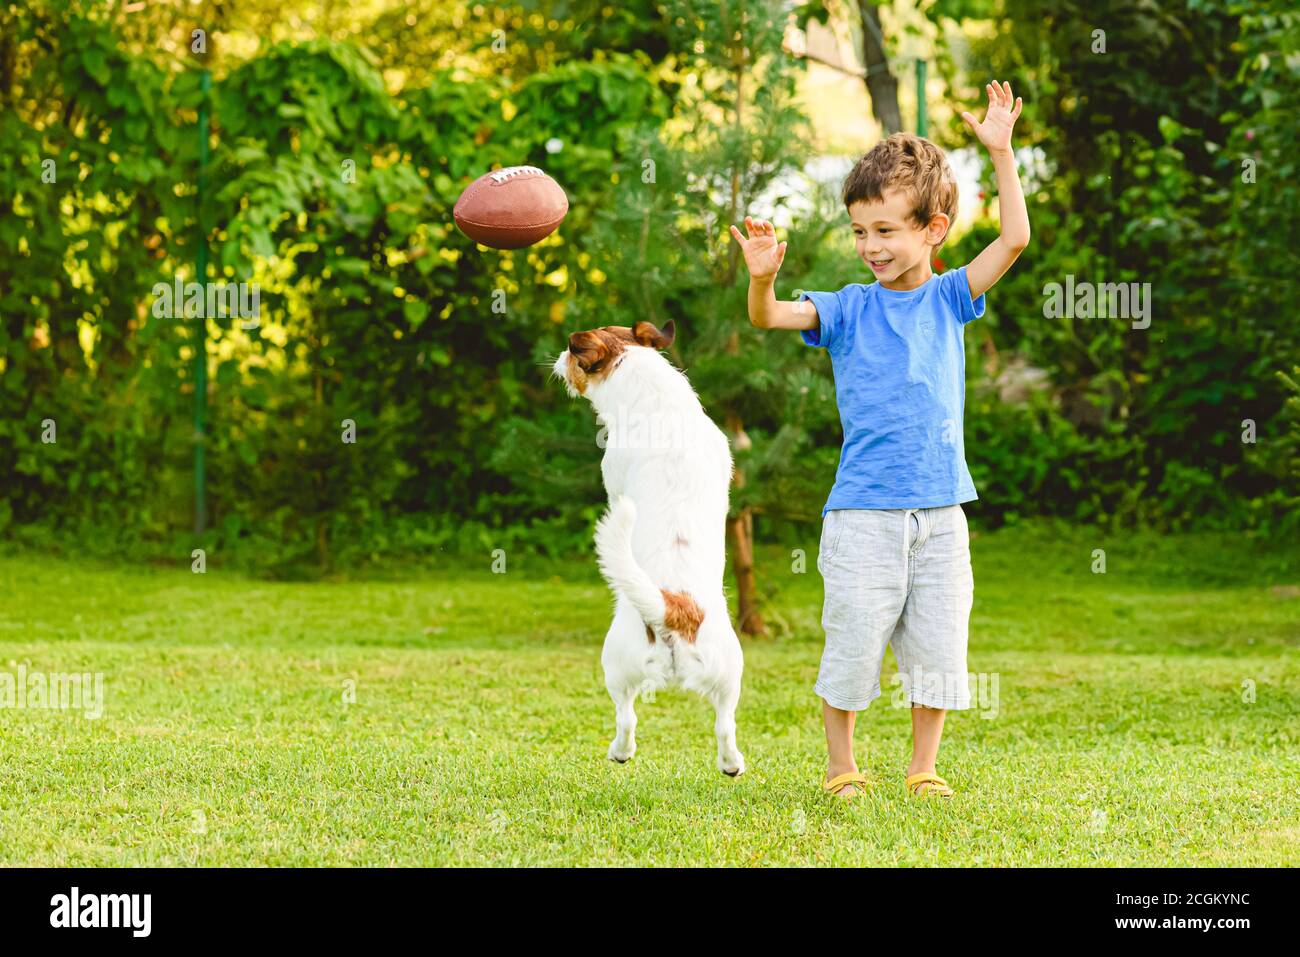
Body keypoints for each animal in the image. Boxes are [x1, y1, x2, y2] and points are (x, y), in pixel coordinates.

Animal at [553, 317, 748, 774]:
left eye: (572, 354)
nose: (558, 358)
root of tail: (675, 607)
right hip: (730, 670)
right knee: (724, 725)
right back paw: (731, 764)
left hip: (614, 665)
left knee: (627, 718)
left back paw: (620, 752)